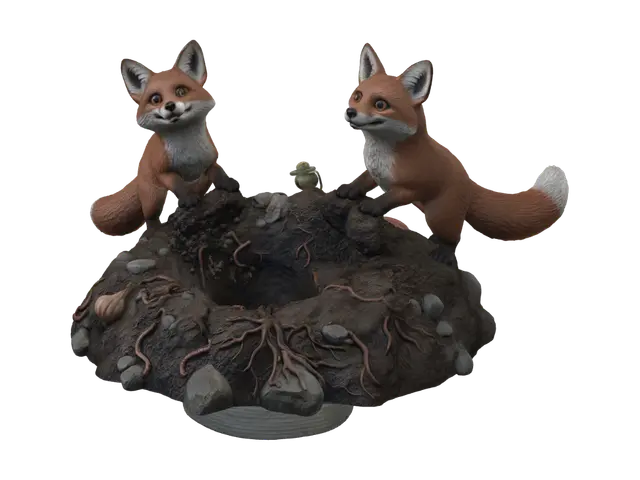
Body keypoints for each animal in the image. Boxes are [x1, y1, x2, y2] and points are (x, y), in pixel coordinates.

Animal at [89, 39, 238, 238]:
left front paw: (228, 183)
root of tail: (140, 166)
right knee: (149, 217)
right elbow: (177, 184)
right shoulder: (163, 172)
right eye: (156, 99)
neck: (189, 154)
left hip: (199, 184)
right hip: (155, 196)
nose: (170, 105)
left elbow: (218, 172)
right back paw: (156, 230)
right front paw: (187, 199)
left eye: (181, 91)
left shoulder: (211, 161)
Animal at [337, 44, 571, 266]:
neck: (383, 155)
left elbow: (390, 198)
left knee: (452, 238)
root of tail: (469, 183)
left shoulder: (413, 187)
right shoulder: (373, 172)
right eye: (358, 96)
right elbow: (361, 182)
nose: (350, 112)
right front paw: (347, 190)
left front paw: (372, 206)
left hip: (438, 216)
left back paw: (443, 255)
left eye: (380, 104)